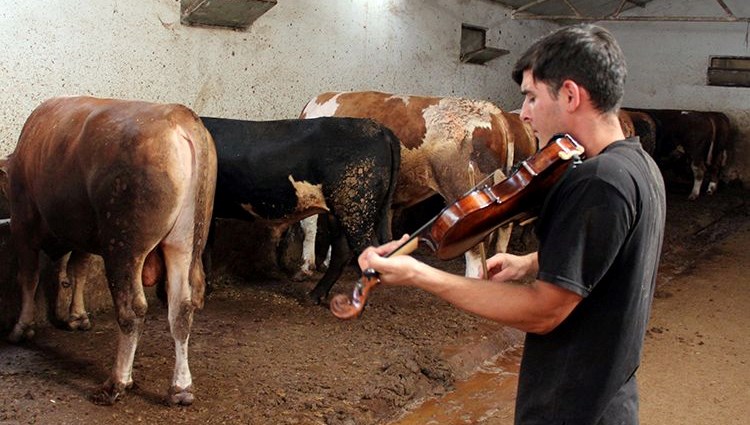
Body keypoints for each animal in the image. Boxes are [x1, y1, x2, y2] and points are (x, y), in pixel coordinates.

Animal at [2, 95, 219, 404]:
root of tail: (179, 117)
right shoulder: (83, 232)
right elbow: (78, 270)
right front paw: (78, 316)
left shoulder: (22, 223)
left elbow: (29, 278)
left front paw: (21, 328)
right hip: (183, 241)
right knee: (181, 308)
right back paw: (180, 388)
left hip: (123, 244)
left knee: (132, 310)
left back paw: (117, 382)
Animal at [198, 116, 400, 302]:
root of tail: (380, 129)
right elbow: (206, 246)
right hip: (343, 212)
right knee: (343, 251)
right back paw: (315, 296)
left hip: (356, 208)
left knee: (367, 250)